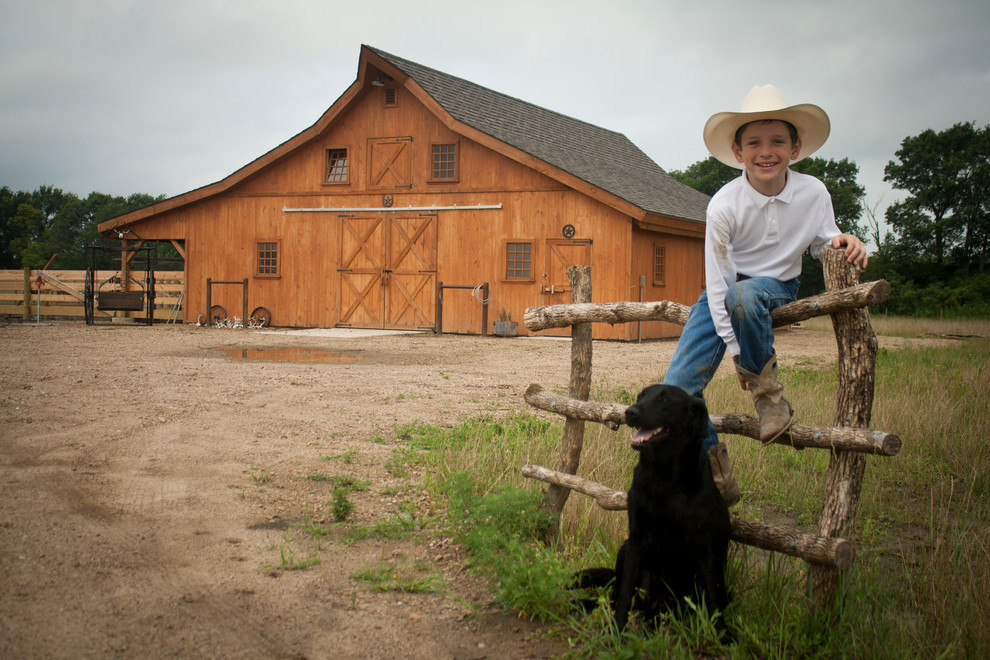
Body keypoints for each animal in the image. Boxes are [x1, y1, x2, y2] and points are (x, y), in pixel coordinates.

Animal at [576, 386, 732, 636]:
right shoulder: (636, 539)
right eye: (641, 397)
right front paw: (616, 632)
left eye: (665, 399)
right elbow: (624, 597)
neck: (663, 477)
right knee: (615, 597)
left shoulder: (704, 549)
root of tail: (654, 602)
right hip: (625, 550)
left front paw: (723, 636)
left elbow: (713, 600)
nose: (629, 412)